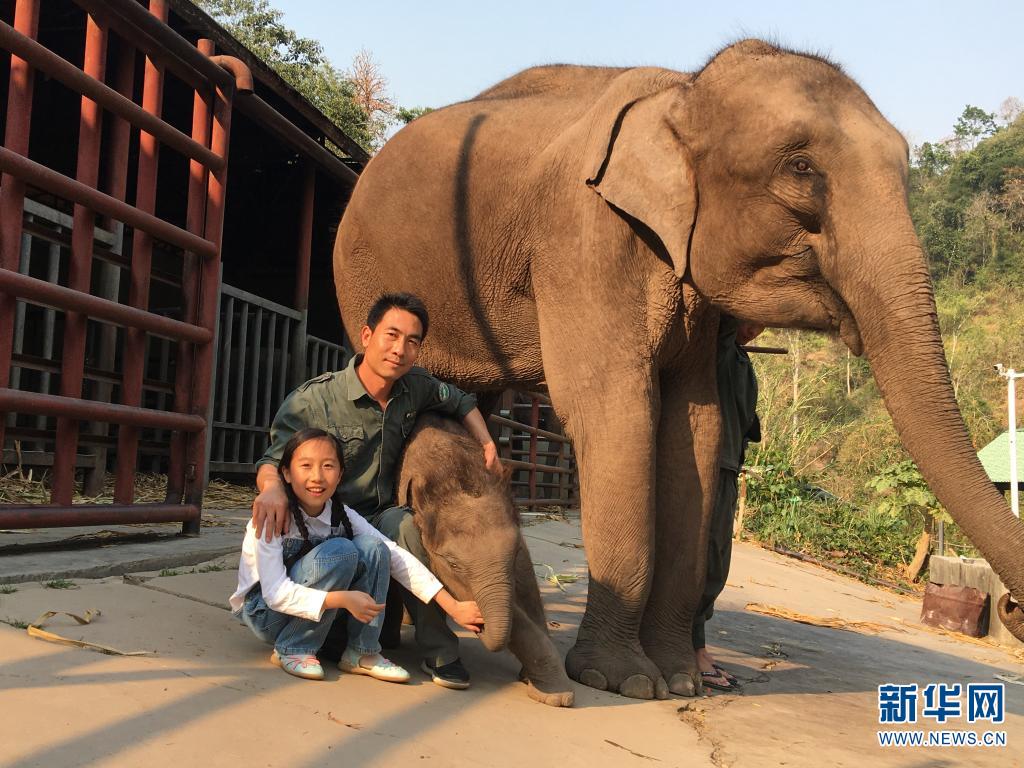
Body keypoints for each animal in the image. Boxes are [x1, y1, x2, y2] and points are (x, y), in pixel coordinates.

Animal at [396, 413, 575, 707]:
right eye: (453, 564)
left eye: (513, 553)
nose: (477, 620)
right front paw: (556, 695)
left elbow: (527, 583)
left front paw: (551, 693)